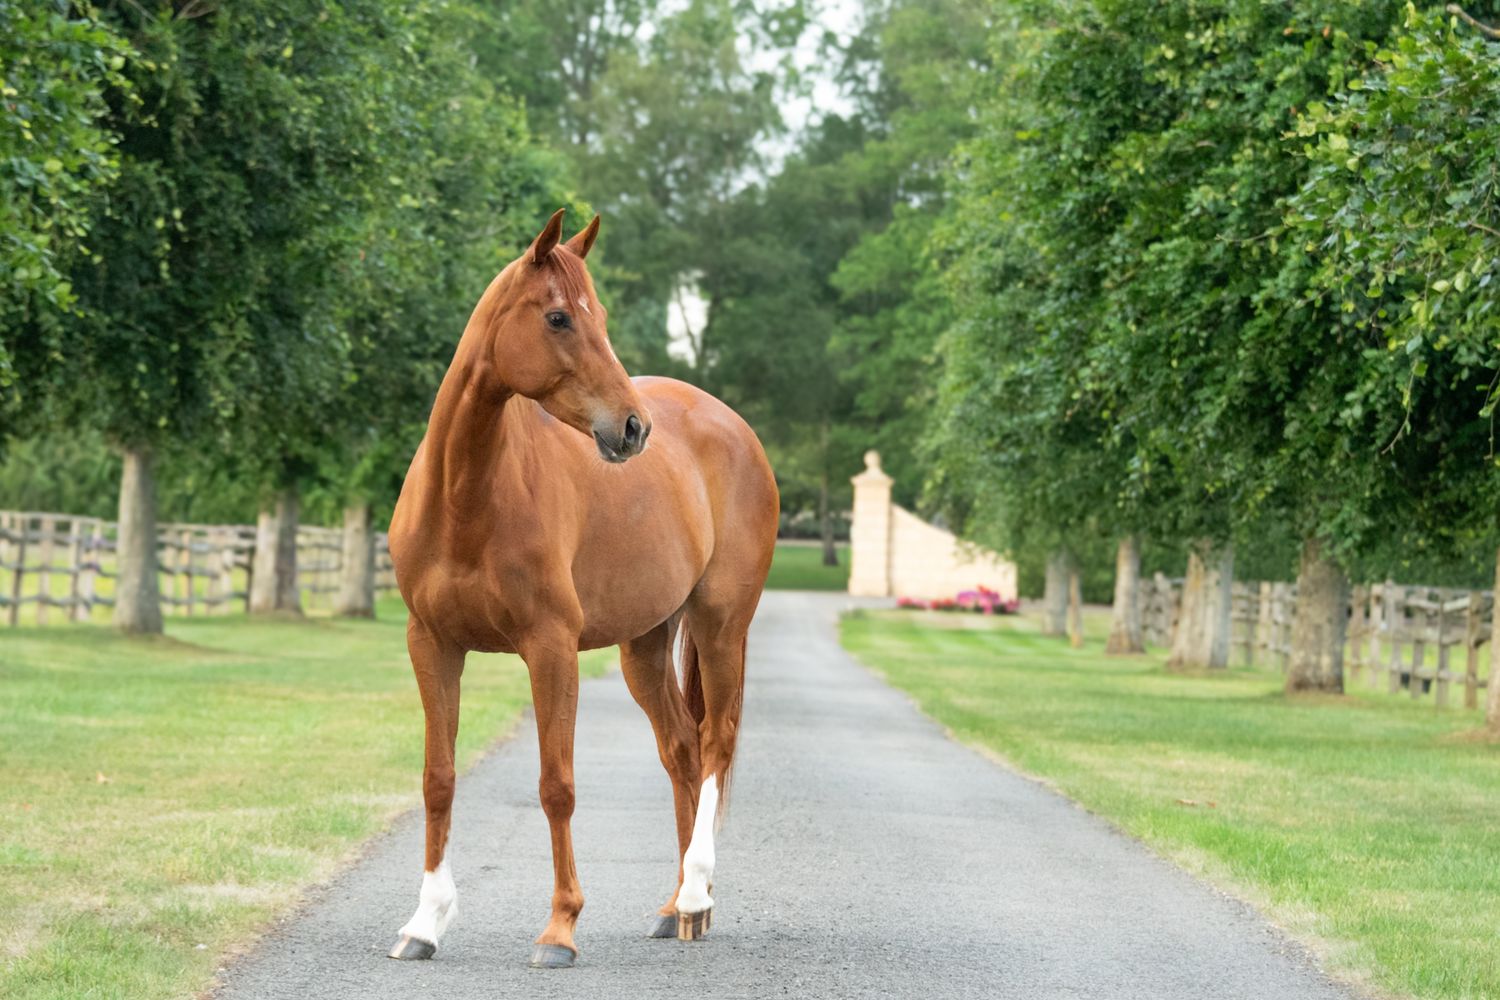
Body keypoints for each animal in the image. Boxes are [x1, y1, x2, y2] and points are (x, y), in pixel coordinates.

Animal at [384, 208, 779, 969]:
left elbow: (556, 785)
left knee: (715, 741)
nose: (632, 427)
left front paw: (560, 929)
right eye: (560, 317)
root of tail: (731, 424)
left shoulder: (551, 648)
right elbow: (437, 779)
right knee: (682, 750)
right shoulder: (432, 645)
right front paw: (424, 922)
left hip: (720, 624)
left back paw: (695, 895)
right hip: (645, 645)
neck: (467, 498)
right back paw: (675, 909)